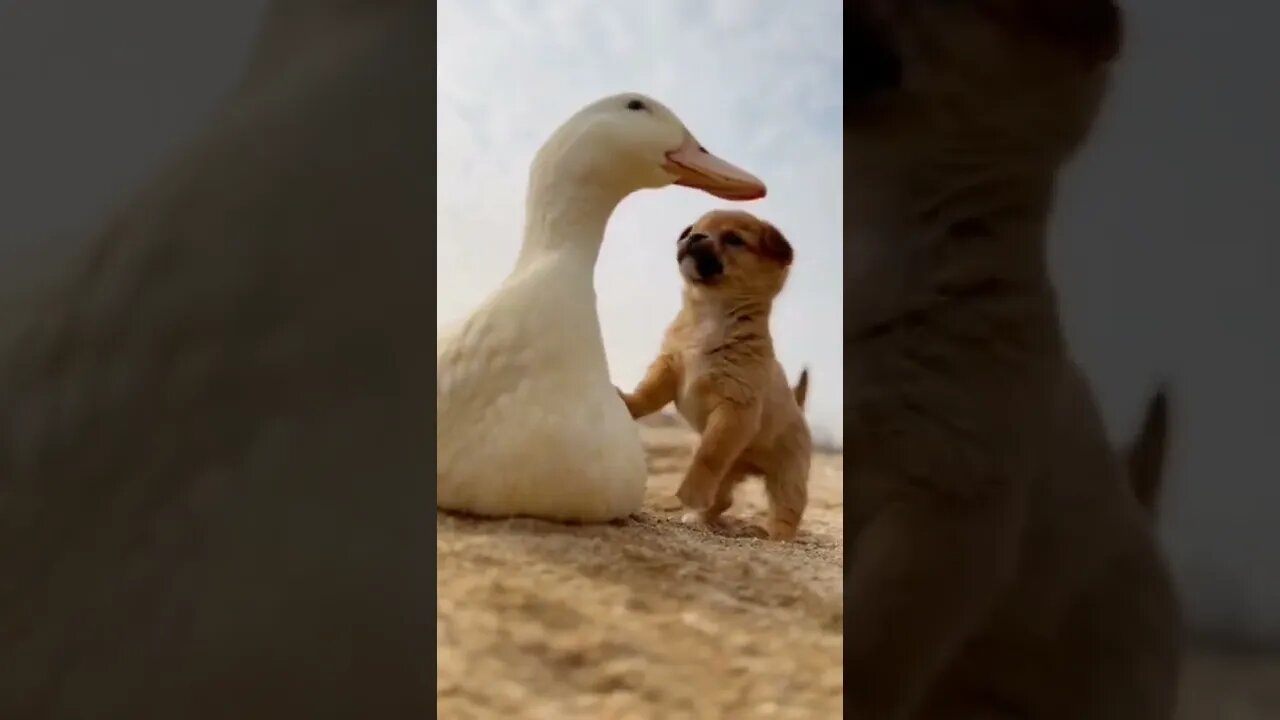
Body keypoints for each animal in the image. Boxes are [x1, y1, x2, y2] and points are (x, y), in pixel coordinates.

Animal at [619, 207, 808, 538]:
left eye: (734, 239)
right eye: (690, 230)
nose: (693, 236)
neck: (709, 314)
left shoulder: (734, 409)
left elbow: (708, 455)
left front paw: (690, 492)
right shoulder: (669, 369)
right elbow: (646, 394)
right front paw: (627, 402)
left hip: (789, 478)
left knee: (786, 510)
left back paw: (775, 536)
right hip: (730, 473)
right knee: (723, 499)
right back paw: (702, 518)